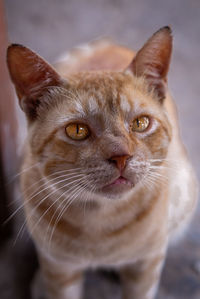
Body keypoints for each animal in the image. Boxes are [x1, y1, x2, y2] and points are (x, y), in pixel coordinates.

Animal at [7, 26, 198, 299]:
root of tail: (110, 43)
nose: (121, 156)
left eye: (140, 123)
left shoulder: (147, 265)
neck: (100, 221)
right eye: (77, 130)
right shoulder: (59, 267)